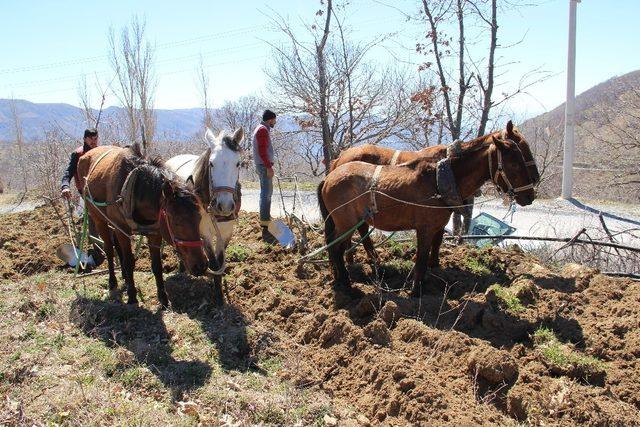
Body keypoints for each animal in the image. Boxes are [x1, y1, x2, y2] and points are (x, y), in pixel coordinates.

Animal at [77, 145, 208, 308]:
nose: (201, 266)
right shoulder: (122, 229)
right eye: (176, 221)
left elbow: (156, 265)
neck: (134, 188)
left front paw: (163, 298)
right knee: (109, 249)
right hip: (99, 219)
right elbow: (129, 261)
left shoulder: (155, 233)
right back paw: (113, 282)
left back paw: (125, 277)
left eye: (199, 218)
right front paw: (132, 297)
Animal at [166, 127, 244, 304]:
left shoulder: (226, 232)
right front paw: (219, 297)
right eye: (211, 163)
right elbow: (214, 263)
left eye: (238, 163)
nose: (225, 205)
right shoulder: (204, 232)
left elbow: (221, 261)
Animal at [318, 134, 536, 298]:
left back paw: (340, 277)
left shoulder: (435, 227)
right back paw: (347, 284)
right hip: (346, 224)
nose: (530, 196)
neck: (439, 182)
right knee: (336, 249)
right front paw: (416, 291)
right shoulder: (424, 228)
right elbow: (421, 259)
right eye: (515, 165)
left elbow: (432, 250)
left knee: (336, 248)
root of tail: (329, 177)